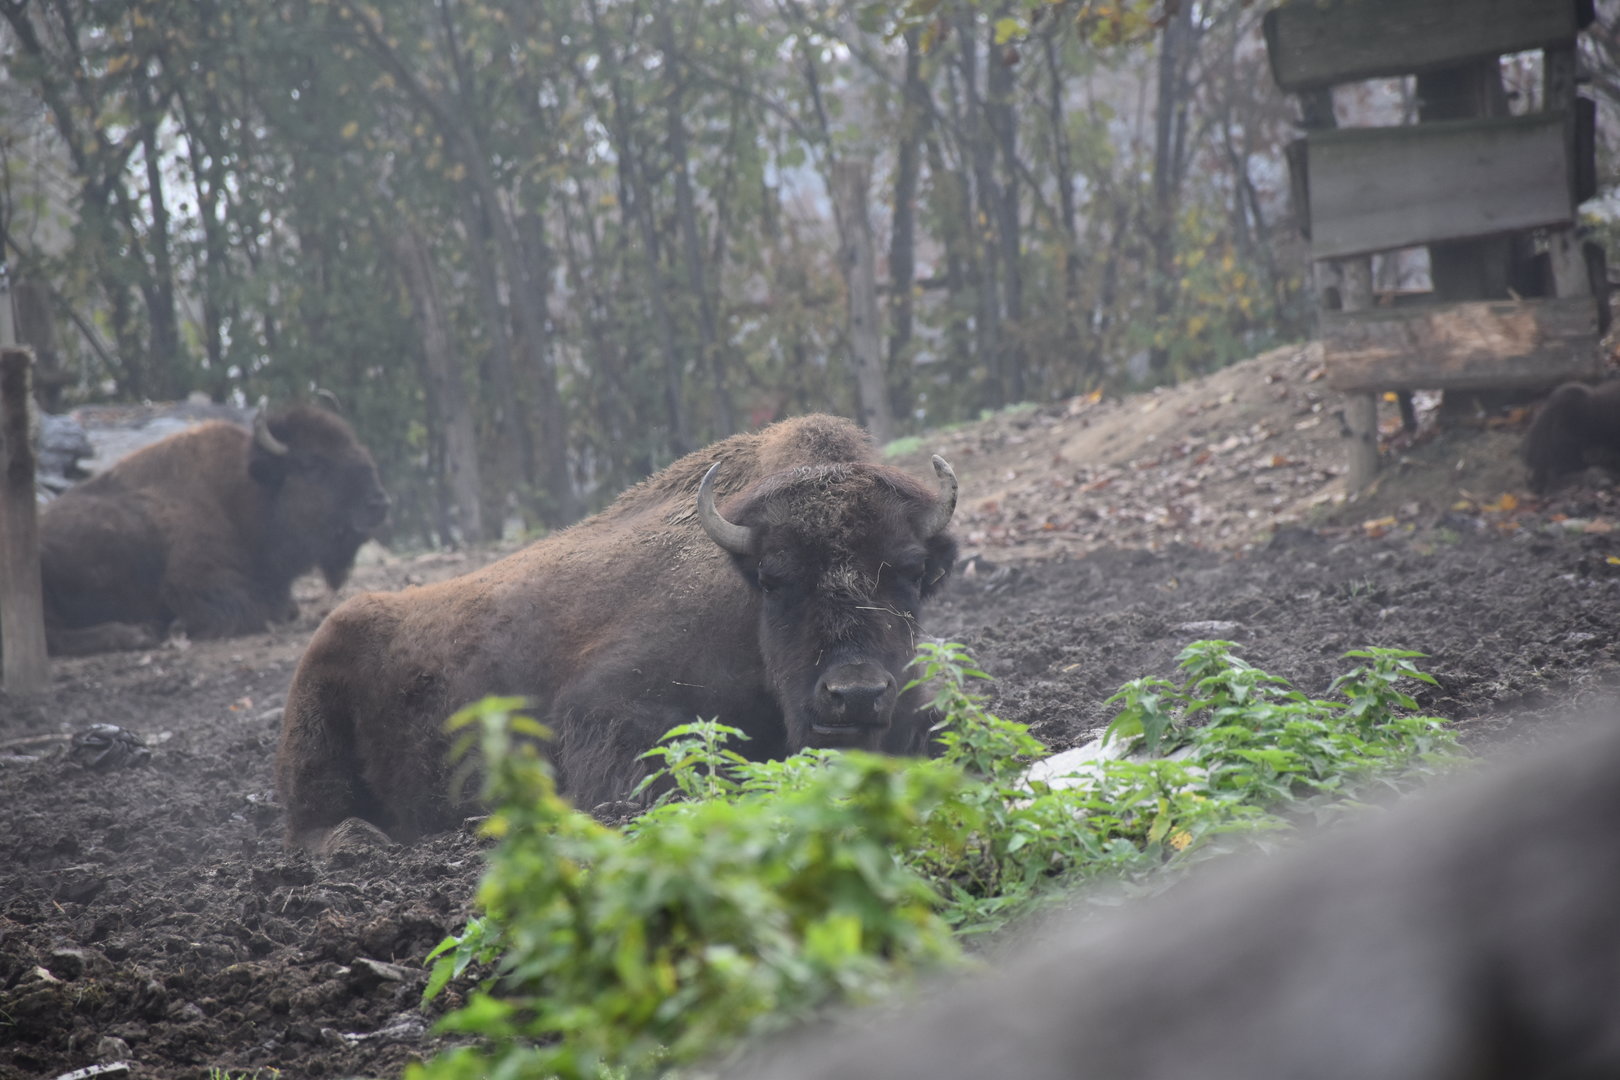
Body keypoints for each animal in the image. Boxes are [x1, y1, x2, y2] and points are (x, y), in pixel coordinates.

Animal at [40, 403, 390, 656]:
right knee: (55, 639)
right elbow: (255, 609)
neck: (243, 495)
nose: (379, 503)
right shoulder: (196, 579)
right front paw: (176, 625)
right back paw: (137, 634)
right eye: (312, 464)